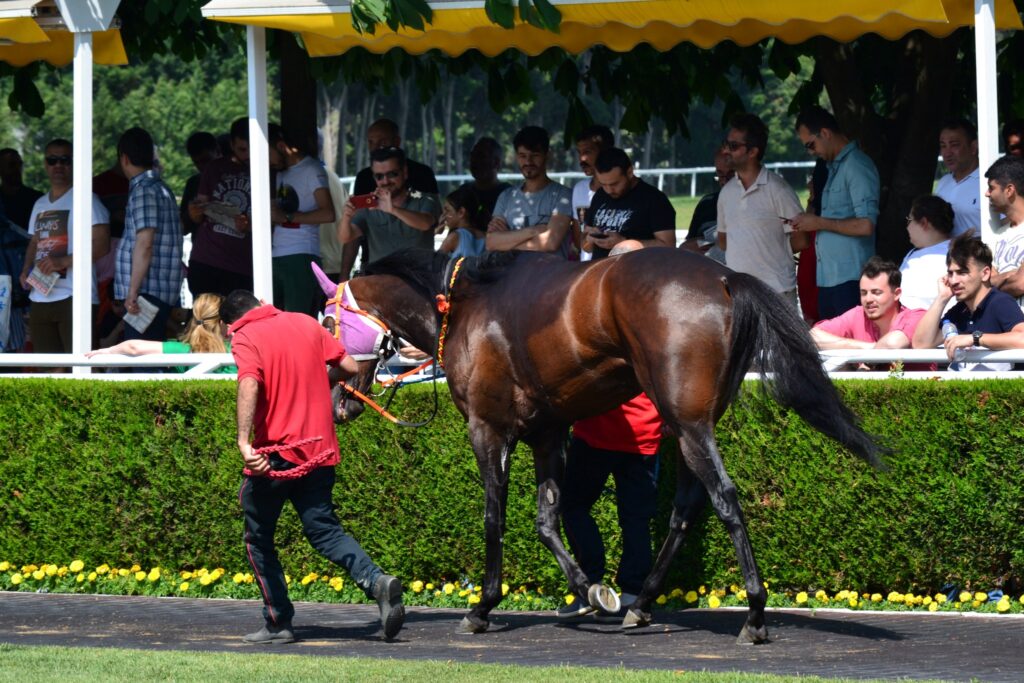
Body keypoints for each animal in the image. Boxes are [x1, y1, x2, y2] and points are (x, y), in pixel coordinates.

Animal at [326, 248, 883, 643]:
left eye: (328, 323)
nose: (336, 401)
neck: (464, 308)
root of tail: (724, 279)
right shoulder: (548, 432)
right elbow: (548, 517)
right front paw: (593, 590)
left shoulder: (487, 429)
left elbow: (494, 519)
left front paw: (482, 607)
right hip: (690, 424)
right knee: (685, 508)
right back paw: (642, 603)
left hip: (687, 422)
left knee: (724, 497)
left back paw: (754, 613)